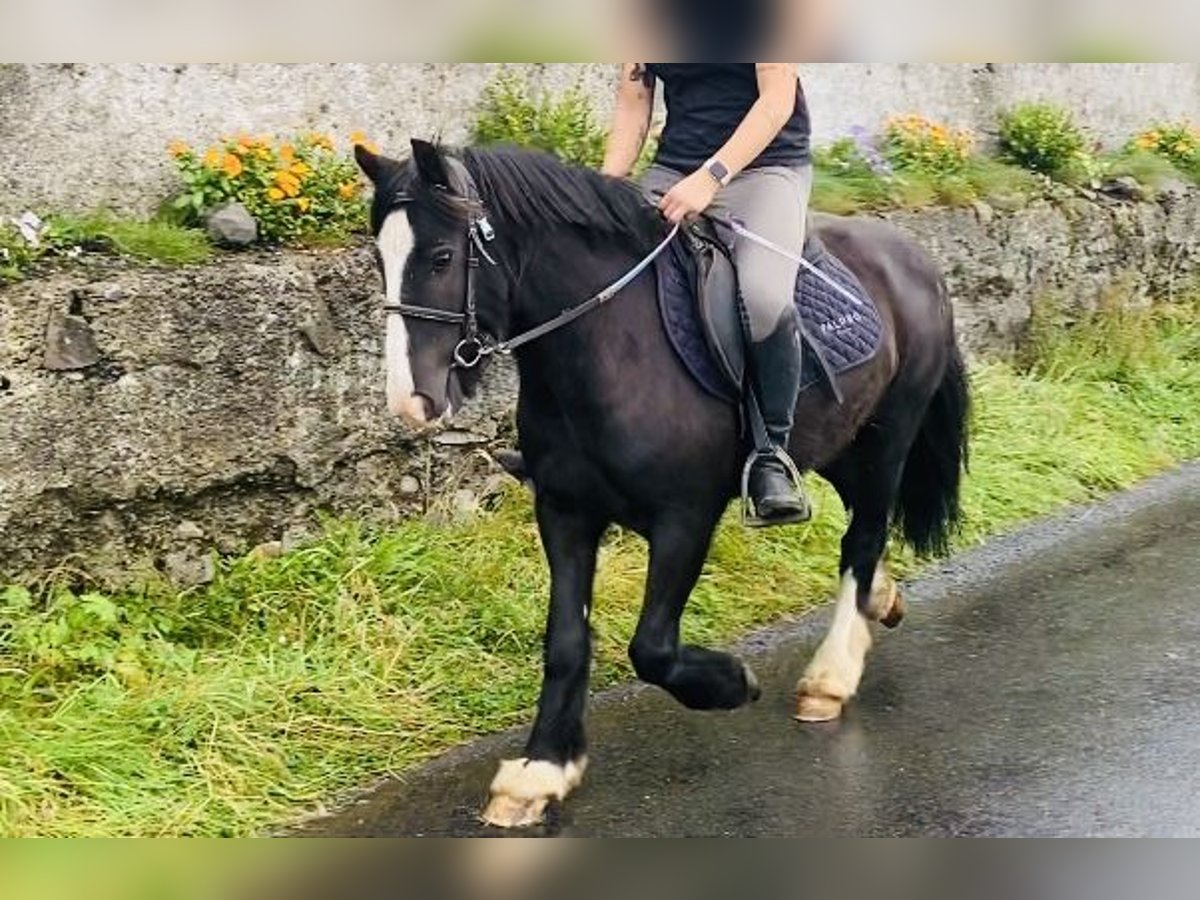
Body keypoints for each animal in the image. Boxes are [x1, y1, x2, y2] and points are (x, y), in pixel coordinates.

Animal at [352, 142, 964, 830]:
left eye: (441, 257)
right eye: (380, 259)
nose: (411, 402)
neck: (612, 343)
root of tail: (911, 254)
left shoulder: (685, 517)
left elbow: (652, 648)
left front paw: (731, 683)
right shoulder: (565, 511)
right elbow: (566, 641)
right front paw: (542, 770)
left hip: (889, 439)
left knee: (862, 539)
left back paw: (829, 677)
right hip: (842, 443)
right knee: (863, 527)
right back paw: (880, 601)